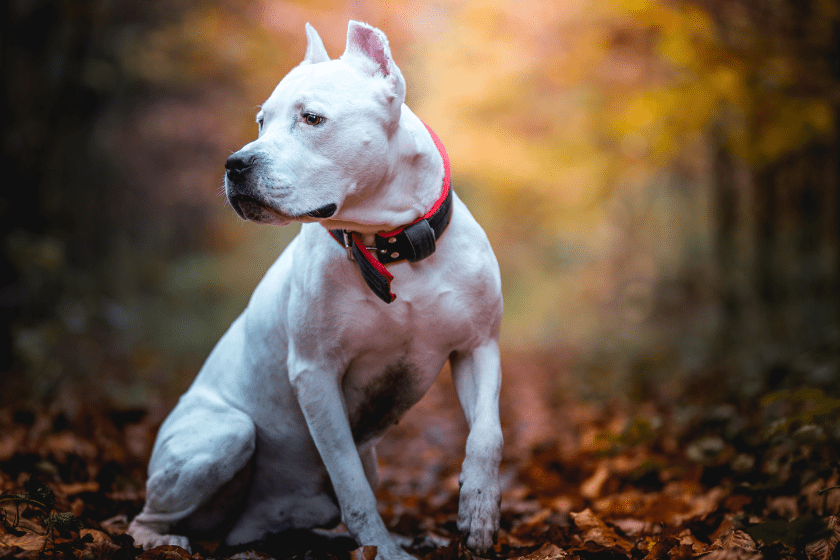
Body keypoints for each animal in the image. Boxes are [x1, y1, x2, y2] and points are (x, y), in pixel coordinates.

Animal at [128, 19, 502, 556]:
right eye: (261, 121)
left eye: (312, 118)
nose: (235, 163)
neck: (389, 245)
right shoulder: (316, 374)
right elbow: (351, 483)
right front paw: (383, 550)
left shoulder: (478, 346)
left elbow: (487, 436)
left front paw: (479, 512)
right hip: (225, 433)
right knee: (147, 516)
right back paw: (164, 541)